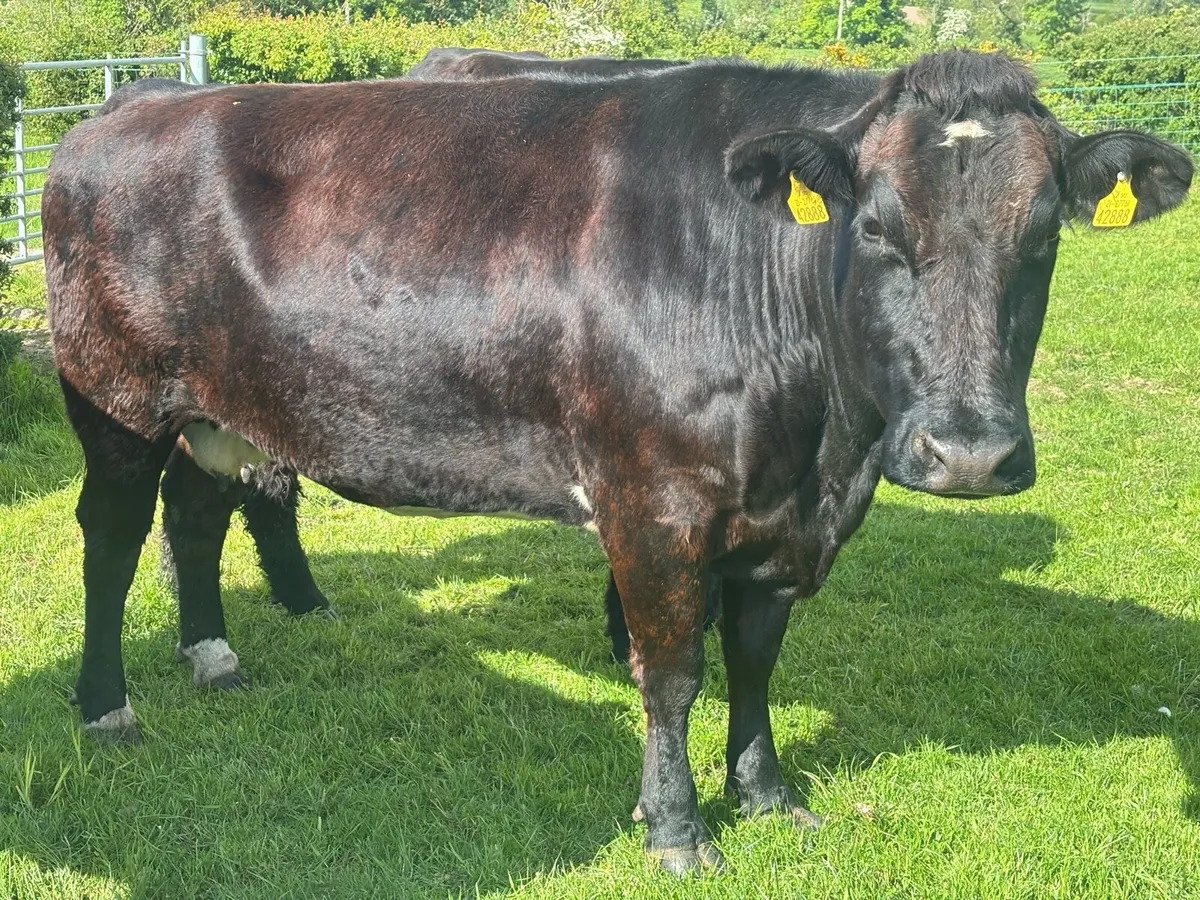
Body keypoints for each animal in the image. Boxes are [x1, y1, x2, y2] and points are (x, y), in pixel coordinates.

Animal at [43, 52, 1192, 874]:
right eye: (874, 228)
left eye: (1044, 235)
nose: (969, 452)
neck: (824, 451)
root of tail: (138, 100)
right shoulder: (653, 504)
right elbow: (674, 673)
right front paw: (677, 829)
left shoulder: (780, 525)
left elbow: (758, 657)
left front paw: (766, 793)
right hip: (115, 397)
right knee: (113, 537)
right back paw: (106, 705)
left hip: (219, 403)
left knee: (198, 511)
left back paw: (213, 654)